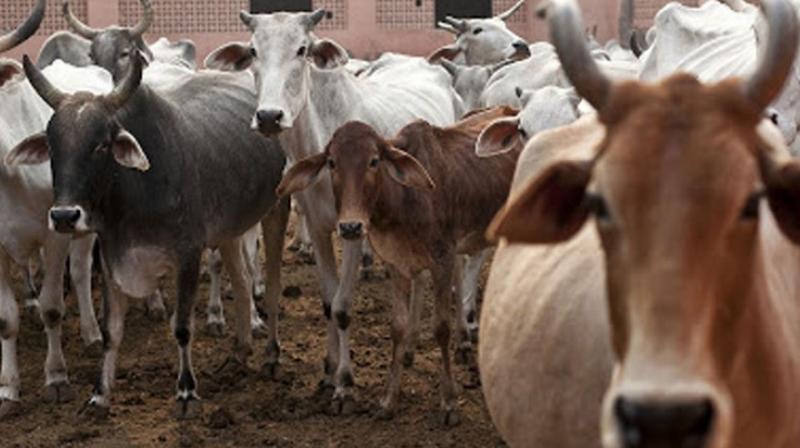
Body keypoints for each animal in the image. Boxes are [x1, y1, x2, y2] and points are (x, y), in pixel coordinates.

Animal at [0, 0, 111, 419]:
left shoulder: (56, 233)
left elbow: (51, 308)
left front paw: (56, 378)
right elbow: (5, 319)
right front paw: (8, 388)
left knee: (79, 272)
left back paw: (92, 332)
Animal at [6, 52, 288, 419]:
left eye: (101, 145)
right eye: (52, 146)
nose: (64, 216)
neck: (137, 191)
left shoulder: (188, 255)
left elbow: (182, 327)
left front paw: (186, 393)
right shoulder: (111, 256)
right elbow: (111, 331)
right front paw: (99, 395)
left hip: (277, 210)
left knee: (271, 286)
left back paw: (271, 356)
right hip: (229, 231)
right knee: (241, 283)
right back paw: (239, 352)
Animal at [204, 9, 462, 414]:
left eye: (302, 49)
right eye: (253, 50)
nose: (269, 116)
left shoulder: (353, 230)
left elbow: (342, 305)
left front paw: (344, 383)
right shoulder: (319, 226)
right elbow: (327, 301)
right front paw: (328, 372)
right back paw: (407, 350)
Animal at [277, 106, 521, 424]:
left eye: (374, 160)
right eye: (331, 162)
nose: (351, 226)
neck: (403, 200)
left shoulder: (441, 259)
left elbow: (440, 327)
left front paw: (449, 402)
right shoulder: (398, 264)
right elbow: (398, 326)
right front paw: (389, 400)